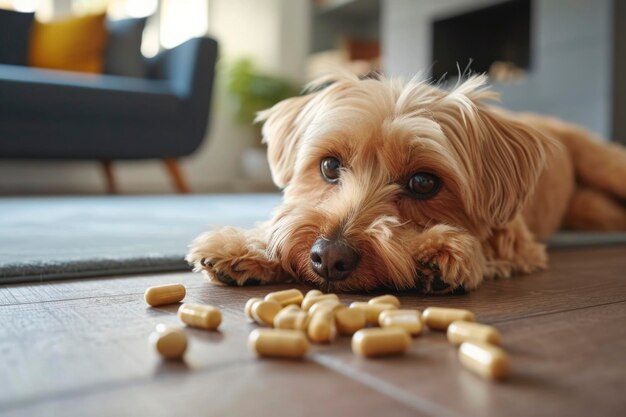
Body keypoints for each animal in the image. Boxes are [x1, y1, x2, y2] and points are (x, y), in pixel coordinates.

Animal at [185, 72, 624, 292]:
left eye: (424, 182)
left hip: (605, 166)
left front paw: (438, 252)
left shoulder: (520, 245)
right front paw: (247, 246)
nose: (328, 257)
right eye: (329, 166)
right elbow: (282, 223)